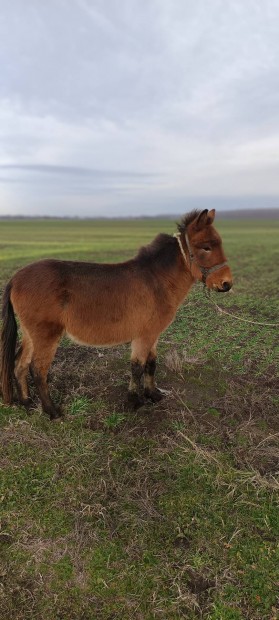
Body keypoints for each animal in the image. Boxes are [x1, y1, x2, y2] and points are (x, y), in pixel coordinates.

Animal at [1, 211, 233, 418]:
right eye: (206, 247)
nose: (227, 284)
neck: (156, 280)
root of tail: (16, 277)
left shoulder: (153, 335)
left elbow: (151, 364)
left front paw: (153, 395)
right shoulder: (143, 336)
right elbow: (137, 367)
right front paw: (134, 401)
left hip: (30, 334)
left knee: (19, 364)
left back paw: (26, 402)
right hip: (46, 336)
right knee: (38, 370)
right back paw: (52, 412)